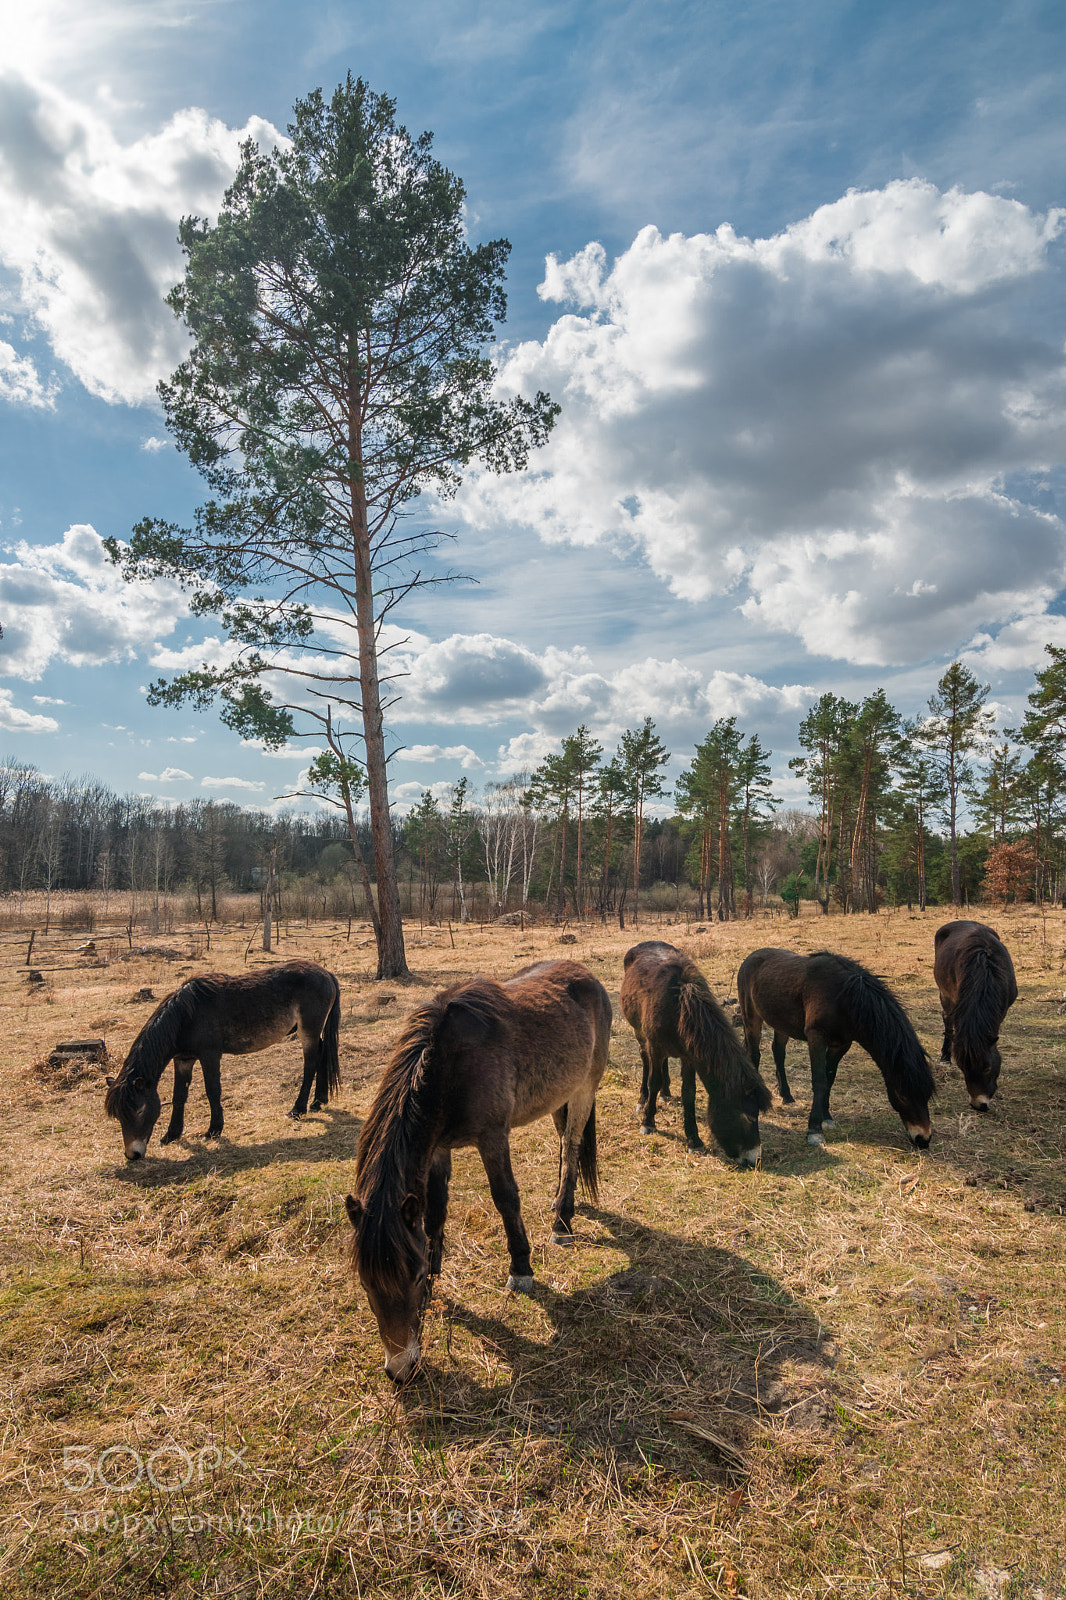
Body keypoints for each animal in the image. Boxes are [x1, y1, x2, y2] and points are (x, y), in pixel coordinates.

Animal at [104, 960, 341, 1160]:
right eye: (119, 1116)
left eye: (139, 1110)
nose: (133, 1155)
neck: (185, 1016)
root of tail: (326, 973)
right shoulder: (183, 1059)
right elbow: (179, 1096)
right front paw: (171, 1135)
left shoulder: (210, 1055)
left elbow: (212, 1090)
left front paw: (213, 1130)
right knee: (322, 1055)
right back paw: (319, 1101)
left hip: (308, 1031)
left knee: (310, 1065)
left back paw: (298, 1109)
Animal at [345, 959, 611, 1382]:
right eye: (366, 1284)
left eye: (412, 1277)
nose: (401, 1369)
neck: (448, 1065)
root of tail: (587, 976)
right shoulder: (437, 1148)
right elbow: (435, 1212)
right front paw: (436, 1269)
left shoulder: (491, 1137)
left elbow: (505, 1198)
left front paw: (521, 1268)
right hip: (560, 1095)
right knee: (563, 1146)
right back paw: (559, 1207)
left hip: (584, 1089)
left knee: (571, 1149)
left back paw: (562, 1223)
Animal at [620, 941, 770, 1163]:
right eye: (748, 1116)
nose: (755, 1159)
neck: (679, 1006)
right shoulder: (655, 1047)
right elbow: (653, 1080)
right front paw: (648, 1121)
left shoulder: (689, 1056)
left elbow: (688, 1093)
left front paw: (694, 1140)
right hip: (640, 1034)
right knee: (646, 1061)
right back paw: (643, 1099)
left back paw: (665, 1093)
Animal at [737, 948, 934, 1149]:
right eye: (902, 1096)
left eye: (927, 1095)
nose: (923, 1139)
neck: (845, 998)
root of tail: (750, 958)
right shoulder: (816, 1037)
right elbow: (819, 1081)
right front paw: (814, 1130)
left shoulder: (841, 1044)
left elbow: (830, 1078)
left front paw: (827, 1117)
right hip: (751, 1017)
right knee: (754, 1055)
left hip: (781, 1023)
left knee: (778, 1052)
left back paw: (788, 1097)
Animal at [933, 920, 1017, 1110]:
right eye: (963, 1068)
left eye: (986, 1068)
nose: (979, 1105)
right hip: (944, 995)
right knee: (947, 1021)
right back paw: (945, 1057)